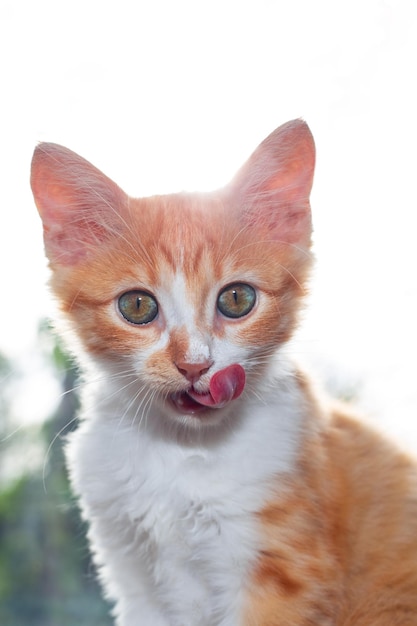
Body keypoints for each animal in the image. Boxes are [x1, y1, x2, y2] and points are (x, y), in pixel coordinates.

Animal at [30, 120, 416, 624]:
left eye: (237, 299)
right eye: (137, 306)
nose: (195, 363)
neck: (182, 451)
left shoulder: (284, 571)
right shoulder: (131, 571)